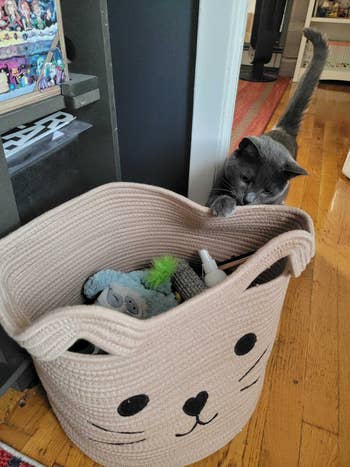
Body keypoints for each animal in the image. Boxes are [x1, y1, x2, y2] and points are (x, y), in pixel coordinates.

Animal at [208, 28, 328, 218]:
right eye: (245, 179)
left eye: (267, 191)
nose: (247, 200)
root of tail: (283, 130)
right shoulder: (220, 179)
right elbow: (216, 195)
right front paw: (223, 204)